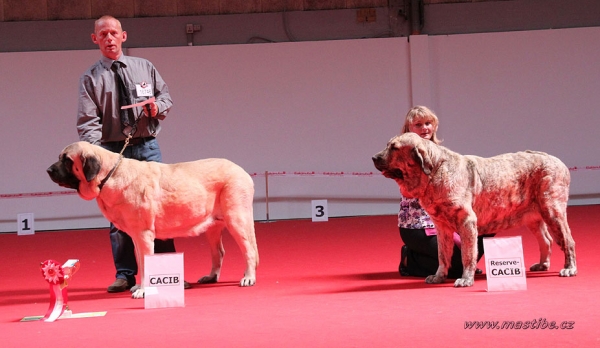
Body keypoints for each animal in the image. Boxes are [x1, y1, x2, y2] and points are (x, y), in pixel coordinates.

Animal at [48, 141, 258, 300]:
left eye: (66, 160)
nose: (48, 170)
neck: (110, 175)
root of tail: (242, 170)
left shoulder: (143, 235)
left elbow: (145, 263)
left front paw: (143, 290)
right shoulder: (135, 236)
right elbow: (140, 263)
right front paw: (140, 286)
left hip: (237, 219)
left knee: (248, 250)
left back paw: (248, 277)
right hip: (213, 227)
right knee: (219, 252)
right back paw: (211, 277)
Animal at [376, 132, 576, 286]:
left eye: (394, 147)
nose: (374, 157)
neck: (434, 172)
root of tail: (560, 163)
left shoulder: (467, 222)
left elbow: (467, 253)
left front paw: (466, 279)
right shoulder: (441, 227)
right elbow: (442, 255)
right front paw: (439, 276)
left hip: (552, 210)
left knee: (568, 241)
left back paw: (569, 268)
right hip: (534, 217)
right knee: (546, 240)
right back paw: (542, 265)